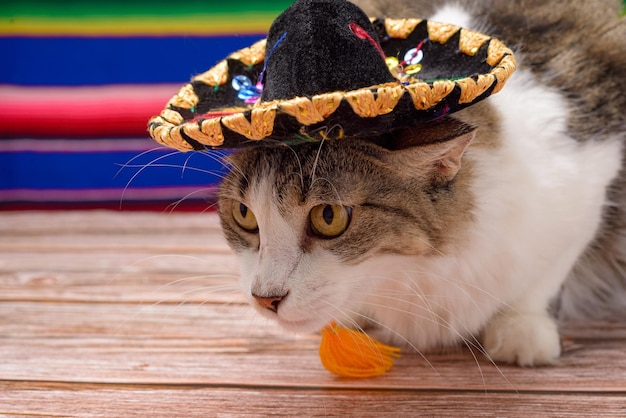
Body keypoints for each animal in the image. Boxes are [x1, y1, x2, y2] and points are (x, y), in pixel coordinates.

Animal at [216, 0, 624, 364]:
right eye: (244, 214)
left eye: (328, 217)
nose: (265, 298)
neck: (413, 274)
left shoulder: (585, 182)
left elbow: (544, 278)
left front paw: (521, 328)